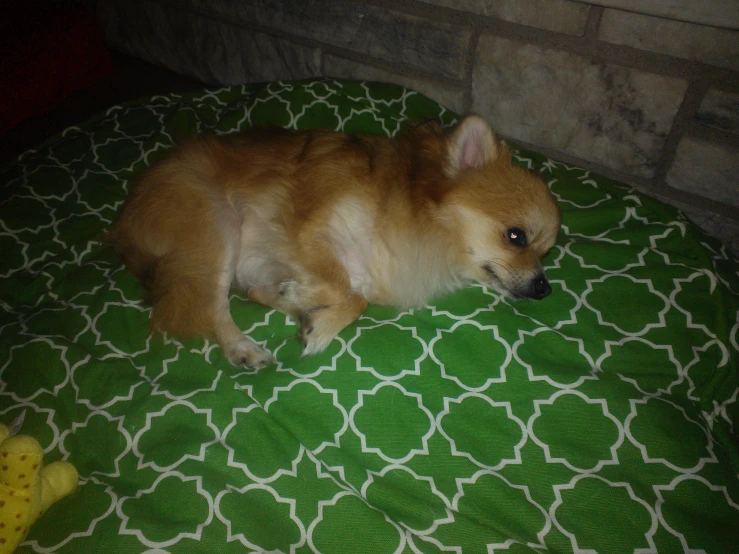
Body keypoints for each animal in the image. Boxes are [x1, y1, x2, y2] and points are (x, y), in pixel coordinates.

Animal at [105, 113, 560, 366]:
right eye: (516, 237)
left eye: (545, 252)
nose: (544, 288)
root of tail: (124, 224)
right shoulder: (306, 229)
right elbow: (346, 291)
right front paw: (309, 306)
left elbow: (356, 299)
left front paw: (312, 317)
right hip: (217, 225)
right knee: (210, 306)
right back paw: (242, 347)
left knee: (241, 293)